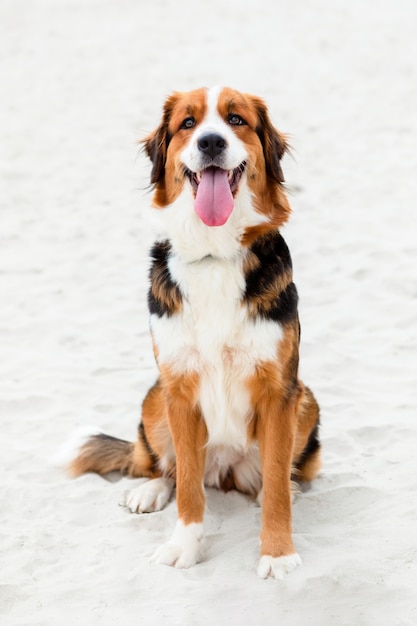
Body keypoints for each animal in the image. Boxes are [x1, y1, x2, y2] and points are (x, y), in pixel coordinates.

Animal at [69, 85, 322, 576]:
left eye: (236, 120)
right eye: (188, 123)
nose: (210, 142)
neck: (215, 254)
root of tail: (224, 468)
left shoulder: (278, 391)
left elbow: (276, 483)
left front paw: (277, 553)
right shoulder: (180, 390)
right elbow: (186, 481)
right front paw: (184, 546)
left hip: (305, 402)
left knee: (277, 475)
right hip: (155, 398)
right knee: (162, 466)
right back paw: (149, 489)